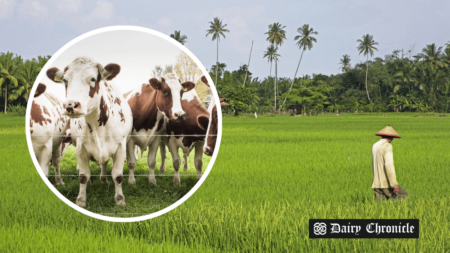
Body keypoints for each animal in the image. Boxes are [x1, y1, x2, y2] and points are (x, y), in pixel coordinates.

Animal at [46, 56, 133, 207]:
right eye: (65, 80)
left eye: (92, 79)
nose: (70, 105)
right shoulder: (81, 148)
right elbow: (83, 176)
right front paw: (81, 200)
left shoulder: (121, 147)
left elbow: (118, 176)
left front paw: (120, 199)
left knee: (104, 164)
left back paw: (103, 179)